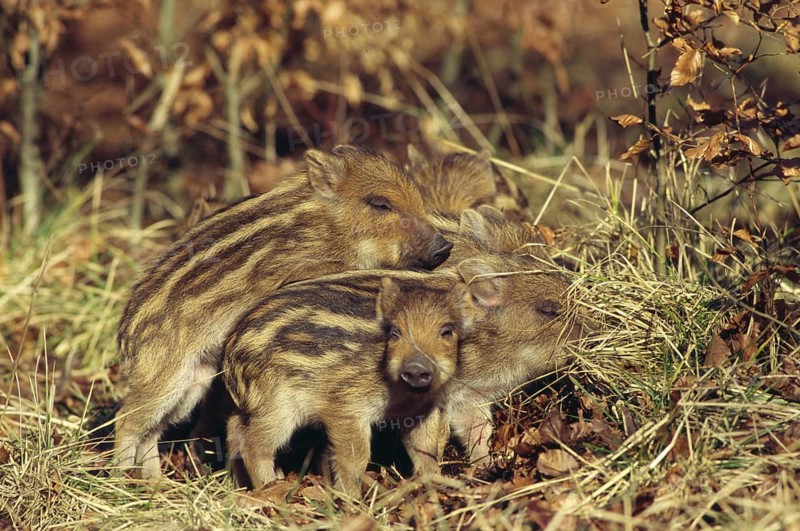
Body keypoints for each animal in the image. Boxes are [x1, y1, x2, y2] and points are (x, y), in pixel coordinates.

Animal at [114, 144, 453, 479]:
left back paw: (154, 483)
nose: (443, 248)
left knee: (154, 428)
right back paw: (120, 473)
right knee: (127, 420)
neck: (329, 226)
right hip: (164, 373)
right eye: (380, 203)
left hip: (193, 382)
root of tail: (125, 339)